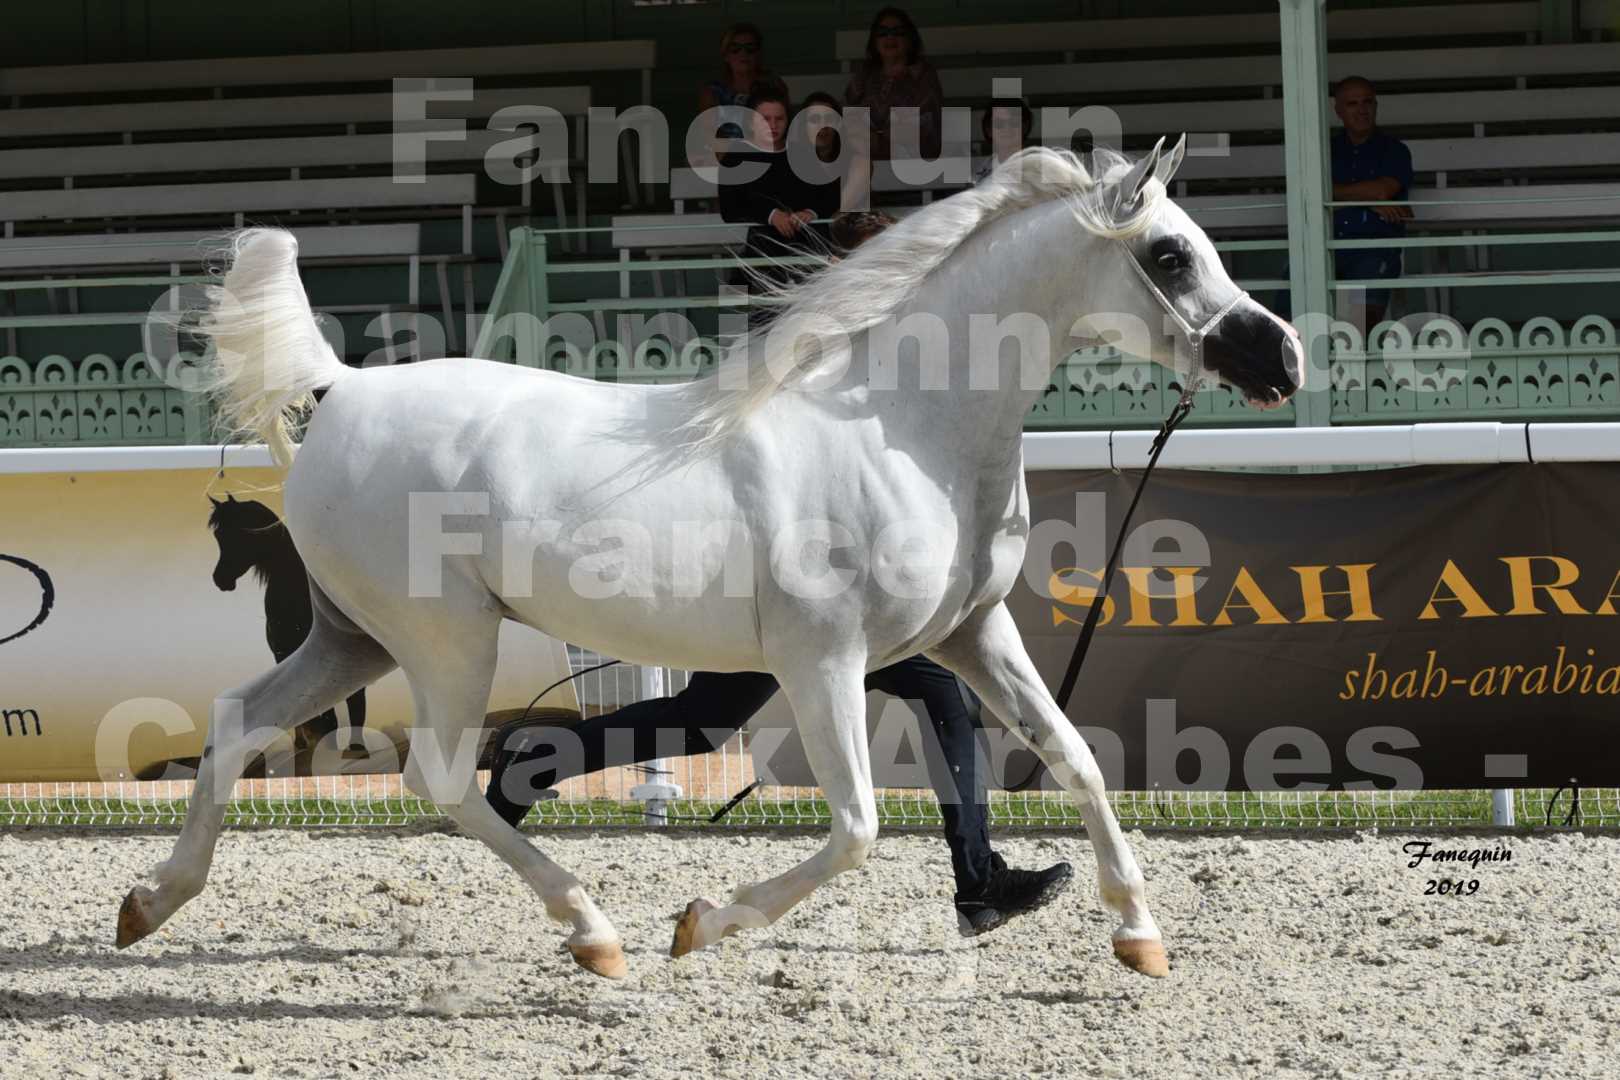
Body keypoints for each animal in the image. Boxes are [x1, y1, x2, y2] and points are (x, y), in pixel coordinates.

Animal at [114, 141, 1302, 977]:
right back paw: (593, 930)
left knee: (238, 722)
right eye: (1169, 254)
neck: (902, 424)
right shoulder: (824, 662)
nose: (1280, 356)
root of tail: (346, 387)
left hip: (354, 635)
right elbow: (858, 827)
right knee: (442, 776)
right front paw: (701, 922)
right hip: (444, 639)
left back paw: (148, 904)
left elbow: (1074, 758)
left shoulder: (970, 634)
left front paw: (1135, 932)